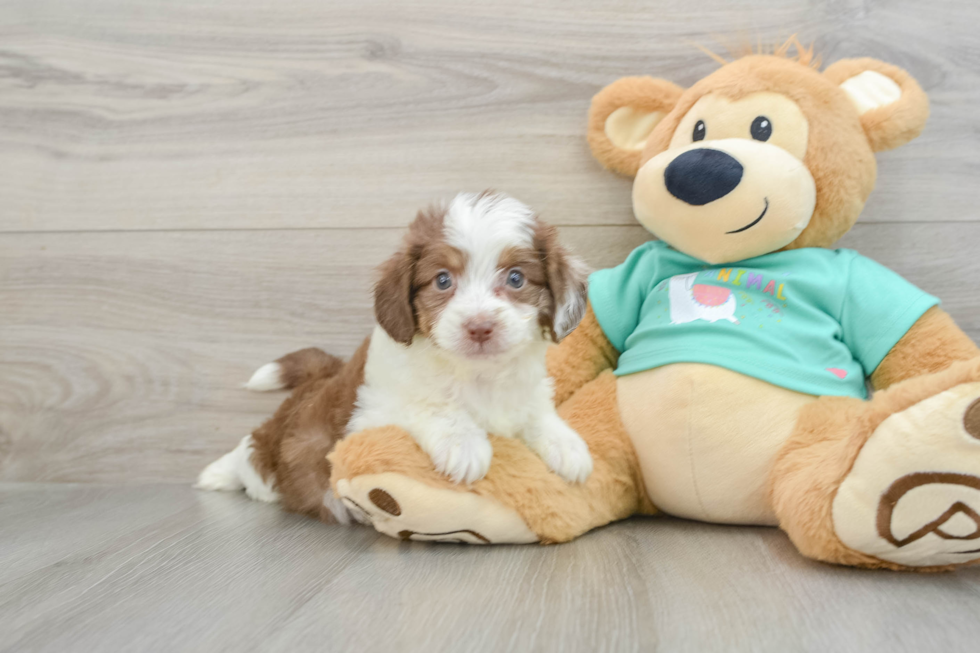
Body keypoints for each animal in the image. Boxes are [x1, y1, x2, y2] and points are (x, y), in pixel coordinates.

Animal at [192, 191, 588, 524]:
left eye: (516, 278)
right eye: (442, 280)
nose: (479, 327)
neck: (475, 374)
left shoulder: (526, 392)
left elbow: (537, 414)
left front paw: (567, 445)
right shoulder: (368, 416)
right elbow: (427, 406)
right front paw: (463, 443)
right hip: (274, 447)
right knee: (250, 452)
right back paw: (218, 473)